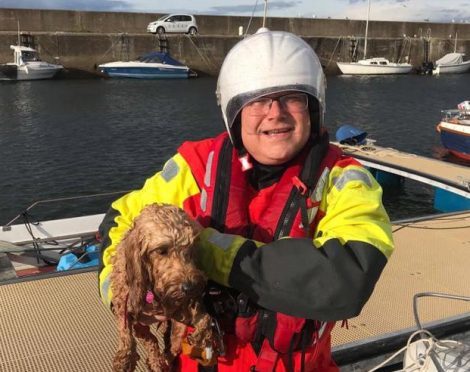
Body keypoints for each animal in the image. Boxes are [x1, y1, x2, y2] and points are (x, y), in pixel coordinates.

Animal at [110, 203, 215, 372]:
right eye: (161, 250)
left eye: (191, 250)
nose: (190, 288)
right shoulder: (128, 309)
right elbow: (129, 331)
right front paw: (125, 357)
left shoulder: (180, 308)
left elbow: (204, 317)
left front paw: (202, 333)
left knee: (174, 346)